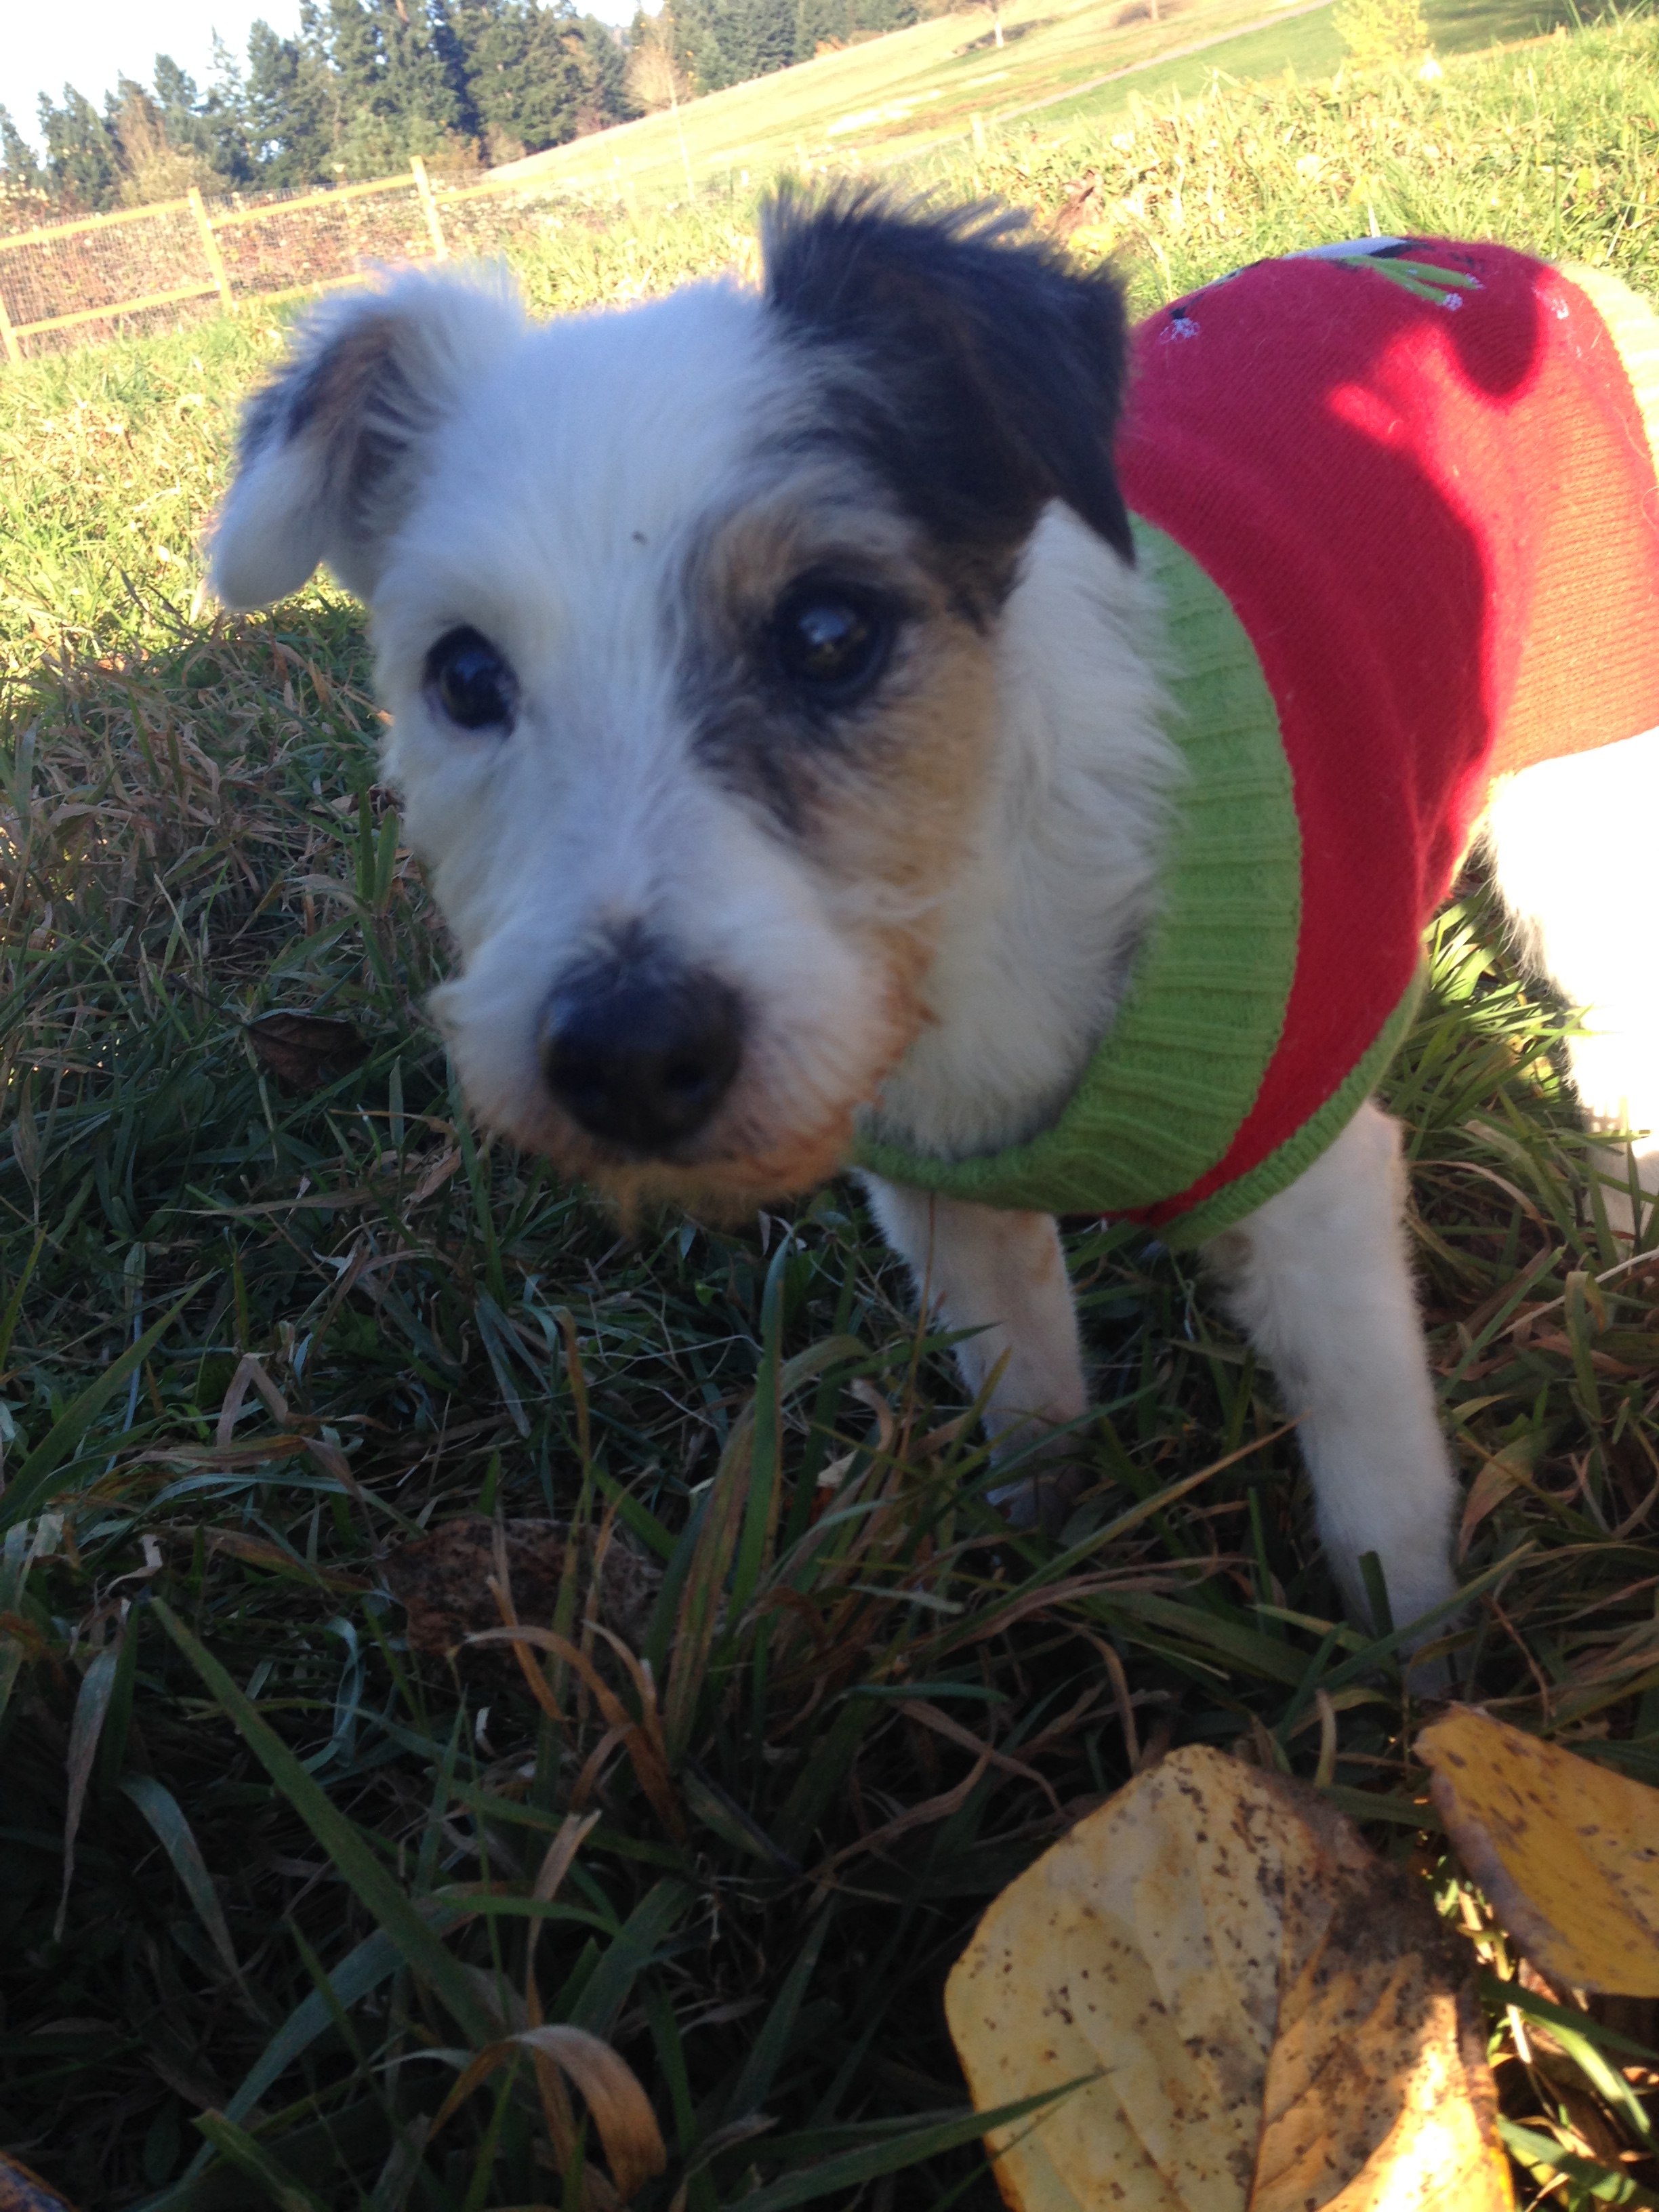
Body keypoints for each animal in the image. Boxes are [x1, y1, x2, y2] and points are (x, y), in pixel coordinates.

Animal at [207, 191, 1659, 1654]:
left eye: (827, 631)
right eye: (462, 676)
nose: (625, 1059)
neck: (969, 916)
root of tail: (1508, 268)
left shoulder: (1316, 1191)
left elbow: (1377, 1493)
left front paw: (1417, 1675)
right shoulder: (945, 1209)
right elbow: (1030, 1409)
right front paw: (1033, 1568)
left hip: (1582, 796)